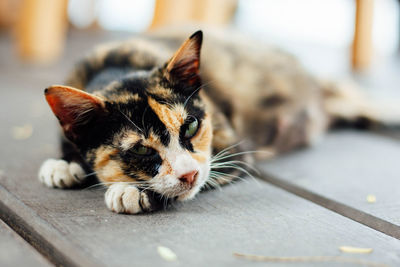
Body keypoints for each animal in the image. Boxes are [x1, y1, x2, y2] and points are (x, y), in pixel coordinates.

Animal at [38, 28, 396, 215]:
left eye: (191, 127)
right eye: (140, 151)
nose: (189, 174)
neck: (117, 66)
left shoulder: (232, 147)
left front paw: (129, 191)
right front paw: (63, 163)